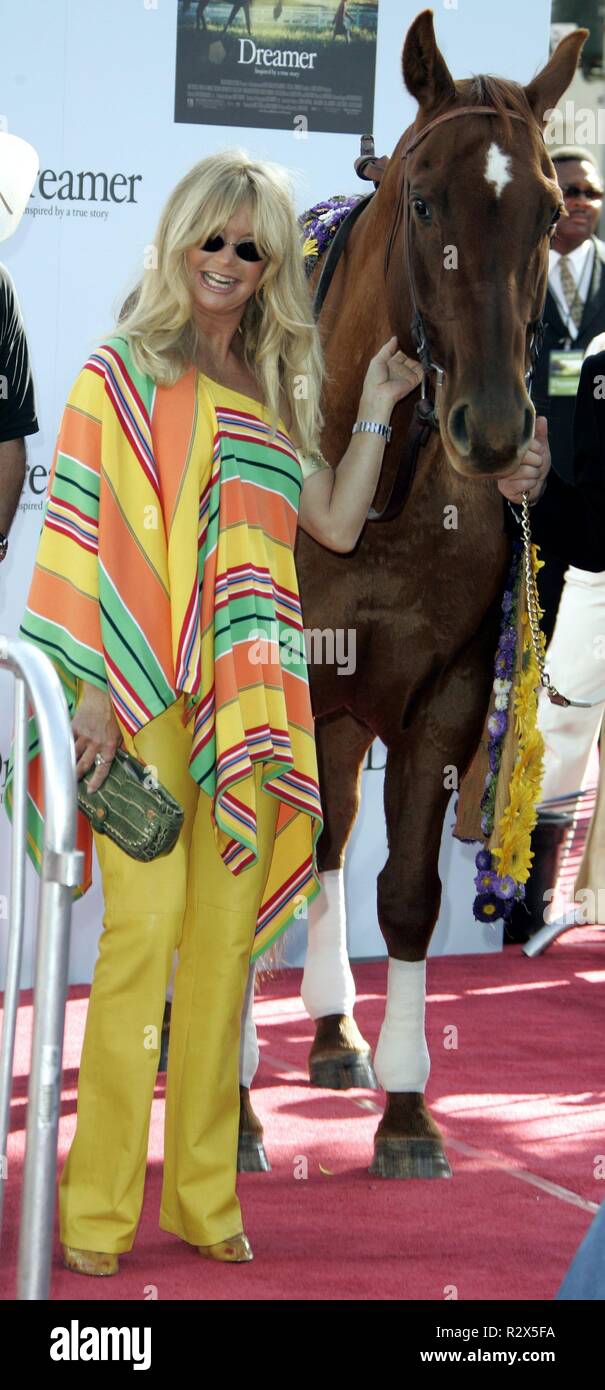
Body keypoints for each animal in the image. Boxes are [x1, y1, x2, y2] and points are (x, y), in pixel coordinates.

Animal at [255, 13, 581, 1184]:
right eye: (425, 201)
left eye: (546, 209)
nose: (493, 429)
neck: (382, 490)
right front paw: (235, 1114)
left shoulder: (441, 692)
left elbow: (403, 891)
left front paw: (405, 1110)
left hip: (353, 711)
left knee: (336, 842)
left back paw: (332, 1030)